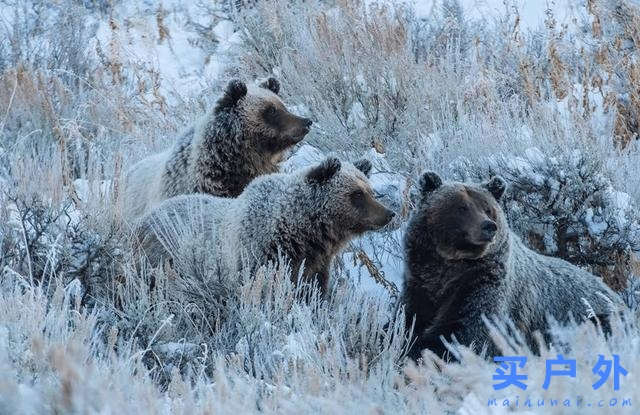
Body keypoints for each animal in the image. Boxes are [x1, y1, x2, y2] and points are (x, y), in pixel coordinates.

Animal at [136, 157, 396, 296]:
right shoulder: (260, 256)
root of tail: (143, 220)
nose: (388, 214)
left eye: (370, 190)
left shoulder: (315, 265)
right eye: (356, 194)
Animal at [402, 172, 624, 360]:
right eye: (462, 207)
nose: (488, 226)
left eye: (488, 208)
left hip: (592, 317)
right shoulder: (420, 280)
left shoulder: (482, 282)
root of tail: (617, 296)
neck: (451, 265)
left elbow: (465, 329)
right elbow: (411, 319)